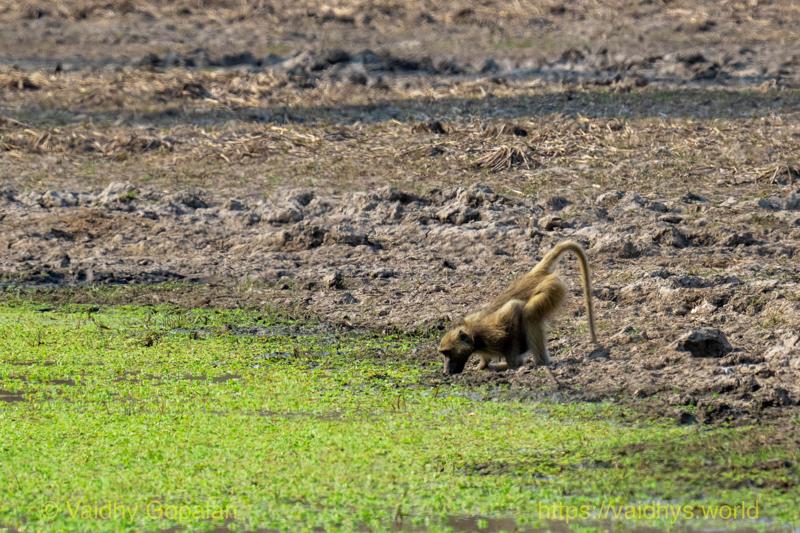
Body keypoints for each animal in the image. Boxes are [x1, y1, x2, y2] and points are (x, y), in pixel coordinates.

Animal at [438, 240, 597, 375]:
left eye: (447, 353)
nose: (445, 371)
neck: (473, 334)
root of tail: (534, 274)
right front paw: (483, 365)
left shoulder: (491, 332)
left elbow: (514, 307)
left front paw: (512, 363)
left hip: (551, 288)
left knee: (530, 314)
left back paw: (541, 362)